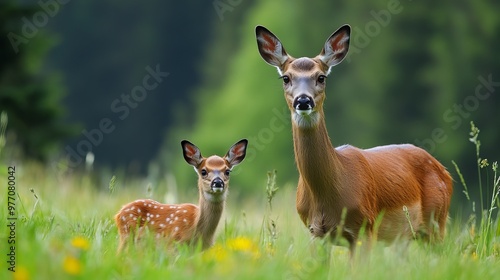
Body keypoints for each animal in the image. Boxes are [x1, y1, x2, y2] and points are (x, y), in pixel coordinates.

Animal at [113, 139, 246, 252]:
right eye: (203, 171)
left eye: (227, 171)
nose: (218, 182)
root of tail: (118, 214)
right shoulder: (173, 245)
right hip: (127, 236)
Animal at [256, 25, 456, 250]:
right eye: (286, 78)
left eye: (321, 77)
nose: (303, 100)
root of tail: (445, 171)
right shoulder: (315, 232)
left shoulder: (364, 227)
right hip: (404, 238)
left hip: (437, 222)